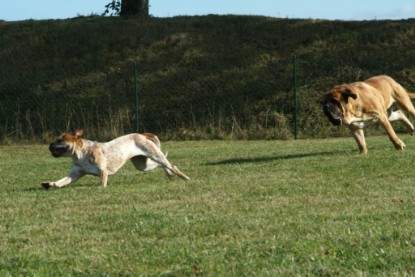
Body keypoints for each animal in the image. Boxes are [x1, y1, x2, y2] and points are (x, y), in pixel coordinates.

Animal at [42, 129, 190, 189]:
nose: (49, 145)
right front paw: (50, 184)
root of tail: (141, 134)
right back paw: (170, 175)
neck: (81, 154)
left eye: (60, 140)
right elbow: (61, 181)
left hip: (154, 154)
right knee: (162, 165)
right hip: (143, 165)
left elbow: (102, 183)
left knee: (171, 165)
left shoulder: (103, 171)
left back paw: (185, 178)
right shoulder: (74, 174)